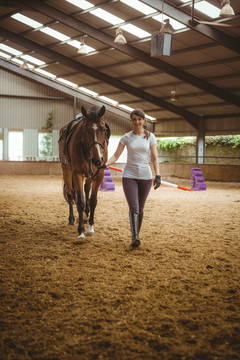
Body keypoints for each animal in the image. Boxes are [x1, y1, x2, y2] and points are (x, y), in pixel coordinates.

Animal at [58, 105, 109, 238]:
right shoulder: (77, 174)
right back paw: (72, 219)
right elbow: (80, 201)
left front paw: (90, 227)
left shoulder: (99, 175)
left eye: (104, 130)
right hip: (66, 170)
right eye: (86, 130)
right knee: (71, 195)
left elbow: (92, 201)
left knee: (86, 189)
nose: (98, 159)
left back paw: (86, 214)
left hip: (90, 175)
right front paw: (81, 231)